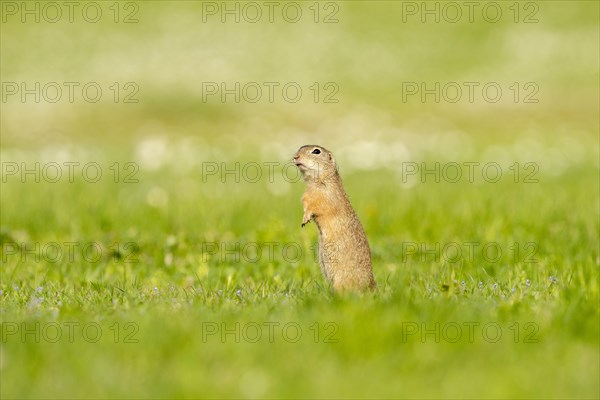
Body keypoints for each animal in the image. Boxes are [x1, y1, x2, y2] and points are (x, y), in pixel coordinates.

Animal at [292, 145, 376, 292]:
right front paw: (304, 218)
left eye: (316, 151)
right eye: (299, 148)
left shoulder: (326, 196)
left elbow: (318, 206)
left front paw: (306, 218)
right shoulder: (307, 196)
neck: (315, 181)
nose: (296, 157)